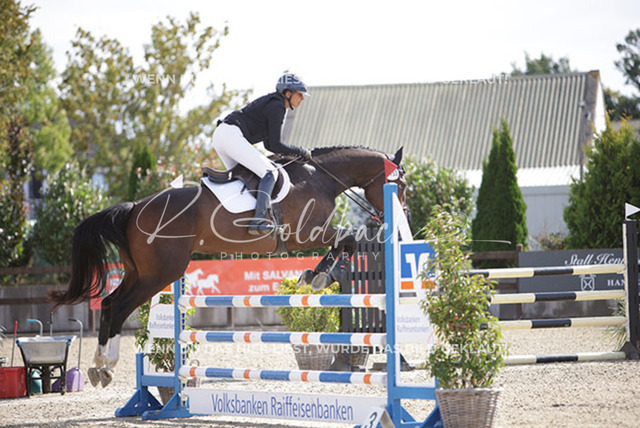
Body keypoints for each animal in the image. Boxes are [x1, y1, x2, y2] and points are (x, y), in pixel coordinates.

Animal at [49, 146, 408, 387]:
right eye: (401, 186)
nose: (400, 213)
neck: (320, 178)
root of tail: (135, 207)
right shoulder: (307, 234)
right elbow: (348, 240)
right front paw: (321, 275)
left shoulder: (310, 235)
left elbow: (344, 242)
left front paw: (315, 274)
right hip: (159, 274)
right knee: (120, 306)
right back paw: (107, 366)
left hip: (140, 271)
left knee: (110, 303)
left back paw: (99, 366)